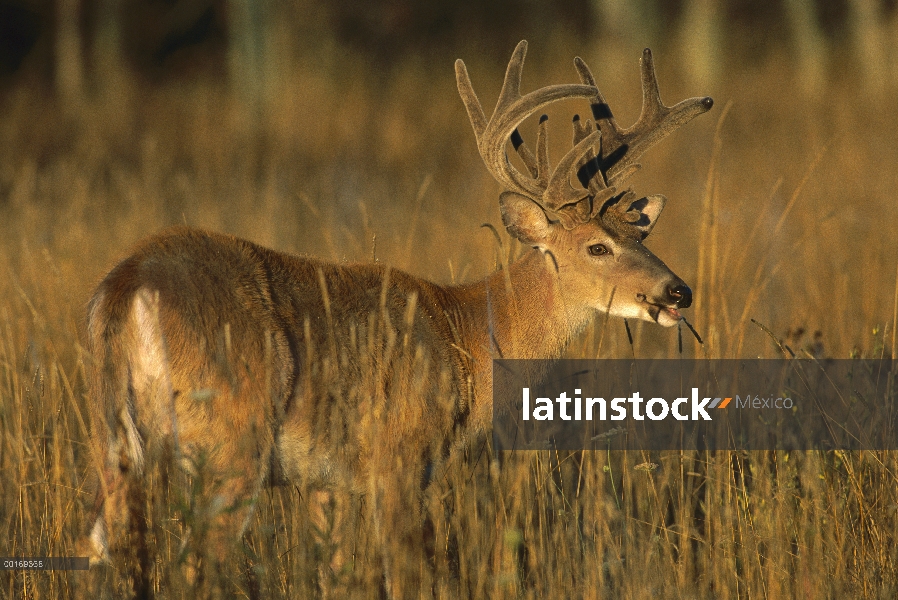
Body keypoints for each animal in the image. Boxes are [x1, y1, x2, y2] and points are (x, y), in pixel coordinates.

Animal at [80, 41, 712, 596]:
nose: (677, 292)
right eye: (597, 247)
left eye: (642, 235)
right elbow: (411, 575)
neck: (469, 335)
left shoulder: (328, 482)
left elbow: (337, 576)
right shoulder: (400, 455)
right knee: (195, 563)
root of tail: (126, 285)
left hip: (115, 442)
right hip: (229, 437)